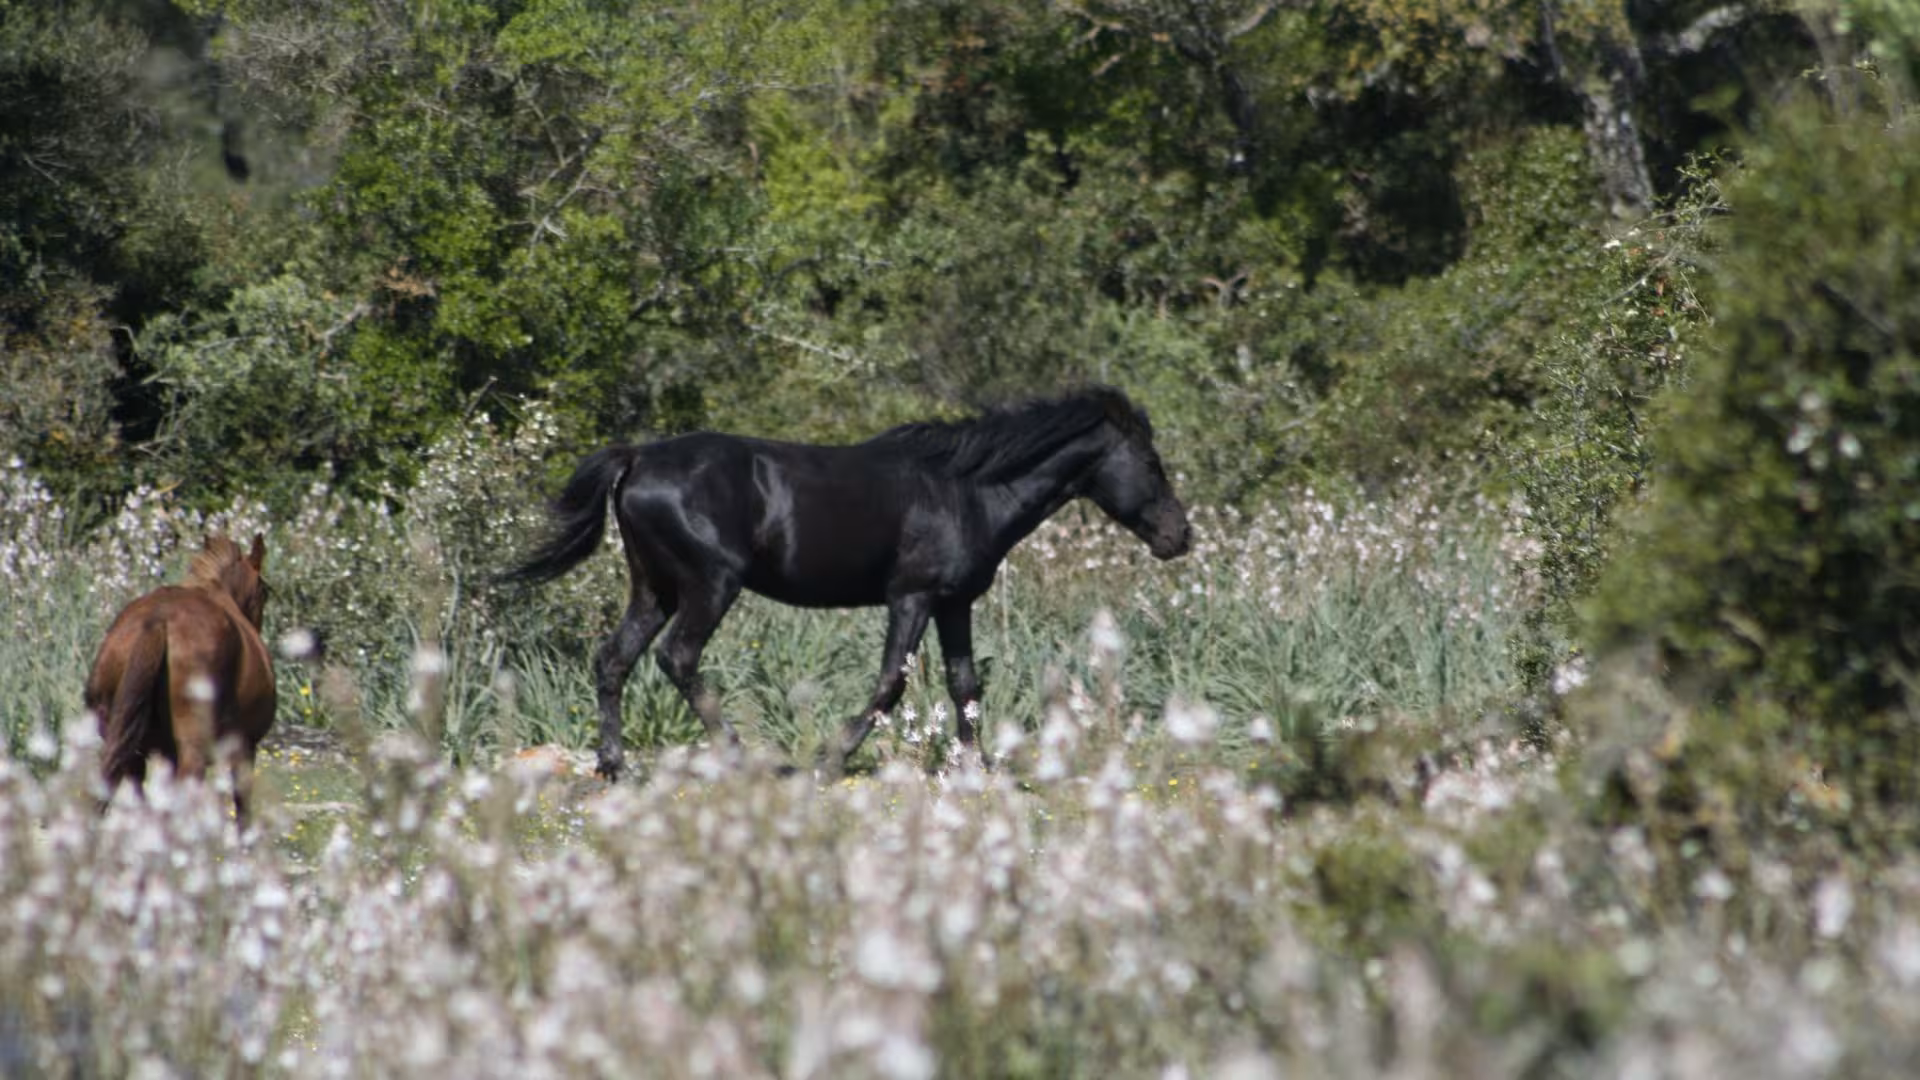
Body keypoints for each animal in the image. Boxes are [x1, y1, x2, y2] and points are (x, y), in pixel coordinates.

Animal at [84, 533, 277, 827]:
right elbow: (242, 806)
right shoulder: (245, 746)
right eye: (264, 591)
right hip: (192, 749)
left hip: (124, 744)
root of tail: (158, 620)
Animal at [504, 385, 1192, 781]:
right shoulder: (911, 598)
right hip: (709, 586)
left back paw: (614, 766)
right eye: (1150, 460)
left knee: (614, 660)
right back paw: (738, 756)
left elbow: (966, 684)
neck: (968, 488)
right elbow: (892, 682)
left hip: (654, 589)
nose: (1179, 537)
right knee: (678, 658)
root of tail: (637, 459)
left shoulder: (955, 604)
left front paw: (977, 769)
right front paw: (831, 761)